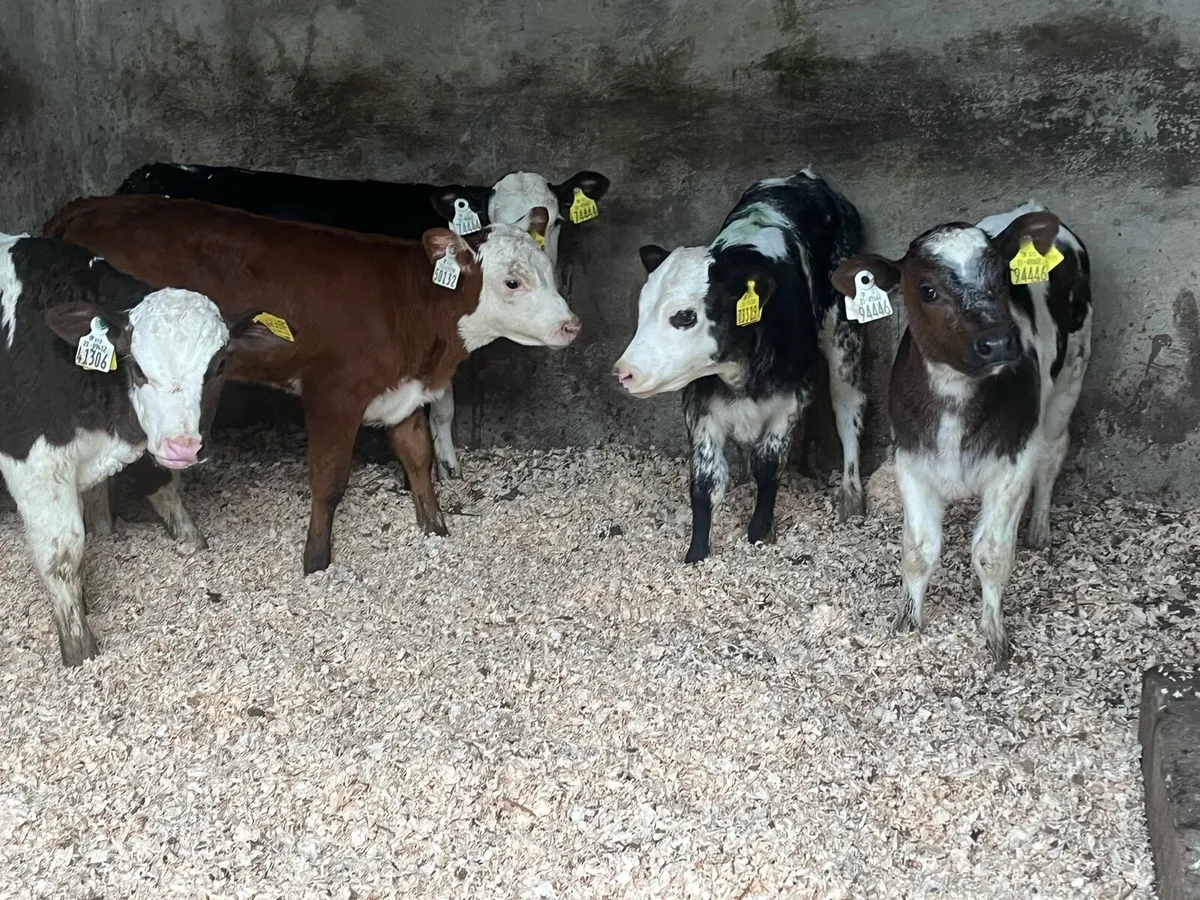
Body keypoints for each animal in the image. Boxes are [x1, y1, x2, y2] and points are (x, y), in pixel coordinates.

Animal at [0, 233, 286, 665]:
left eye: (220, 366)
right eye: (136, 368)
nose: (183, 448)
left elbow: (157, 491)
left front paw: (193, 544)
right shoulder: (32, 460)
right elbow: (62, 552)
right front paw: (79, 651)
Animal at [45, 195, 579, 575]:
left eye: (550, 272)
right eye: (512, 282)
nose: (571, 325)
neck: (409, 305)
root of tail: (95, 203)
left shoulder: (403, 392)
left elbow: (418, 460)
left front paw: (436, 529)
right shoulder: (334, 394)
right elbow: (328, 480)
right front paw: (316, 562)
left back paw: (106, 528)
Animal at [613, 170, 866, 563]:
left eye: (685, 316)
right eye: (642, 310)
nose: (625, 371)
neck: (742, 377)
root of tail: (803, 177)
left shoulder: (793, 399)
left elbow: (768, 465)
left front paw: (760, 532)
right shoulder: (699, 408)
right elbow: (704, 483)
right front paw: (696, 554)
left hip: (844, 332)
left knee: (847, 409)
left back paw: (851, 497)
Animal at [832, 200, 1091, 668]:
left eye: (1003, 278)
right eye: (927, 290)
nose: (999, 343)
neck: (954, 401)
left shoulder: (1013, 462)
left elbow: (991, 554)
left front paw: (995, 637)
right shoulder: (911, 459)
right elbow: (918, 551)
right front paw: (907, 622)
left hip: (1072, 374)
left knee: (1055, 449)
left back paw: (1039, 529)